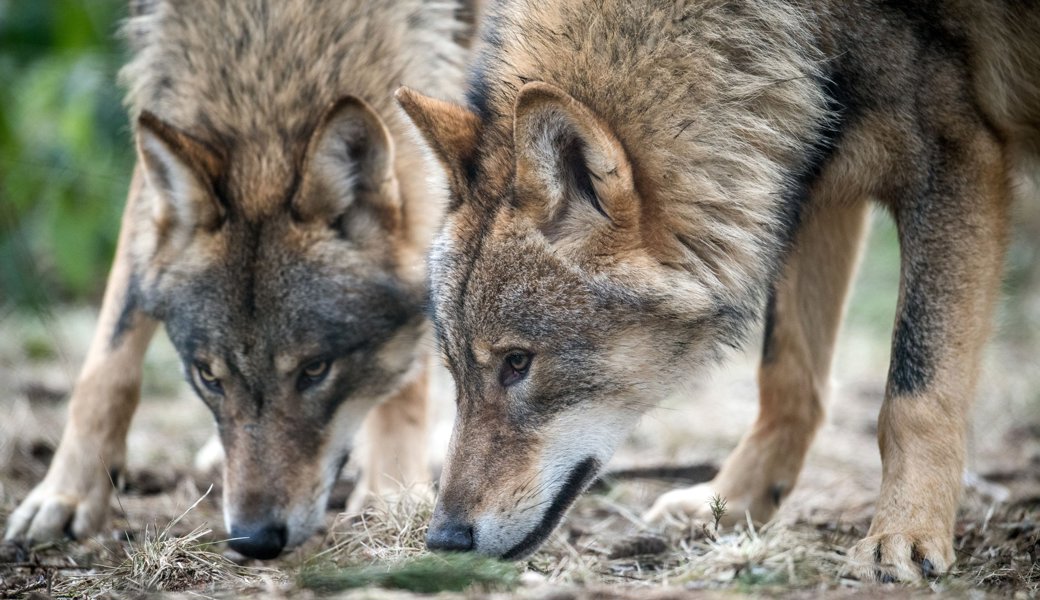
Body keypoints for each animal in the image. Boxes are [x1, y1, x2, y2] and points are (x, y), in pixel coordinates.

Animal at [4, 0, 466, 559]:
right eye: (208, 376)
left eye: (315, 370)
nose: (254, 539)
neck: (278, 33)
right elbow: (108, 360)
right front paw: (65, 494)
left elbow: (410, 364)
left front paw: (393, 489)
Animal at [395, 0, 1040, 581]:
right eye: (455, 371)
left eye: (517, 363)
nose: (443, 539)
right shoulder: (804, 185)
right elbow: (786, 376)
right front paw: (736, 502)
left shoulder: (957, 156)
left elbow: (914, 392)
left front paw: (904, 534)